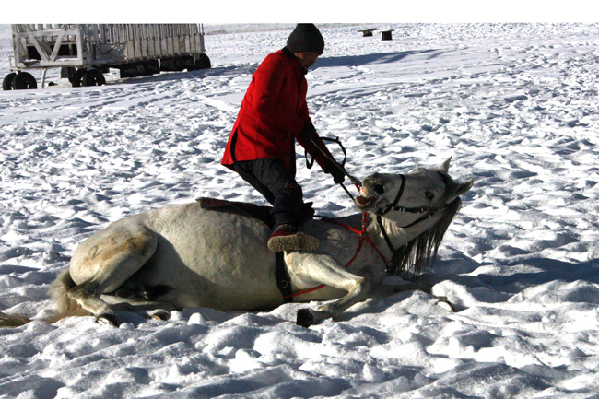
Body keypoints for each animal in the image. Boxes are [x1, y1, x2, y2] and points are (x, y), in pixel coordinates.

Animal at [2, 159, 474, 328]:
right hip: (134, 247)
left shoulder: (377, 277)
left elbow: (399, 285)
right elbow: (357, 286)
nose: (373, 184)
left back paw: (151, 309)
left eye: (430, 191)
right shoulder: (302, 261)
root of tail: (79, 253)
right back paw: (111, 313)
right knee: (87, 294)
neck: (368, 236)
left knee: (121, 297)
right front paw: (316, 312)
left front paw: (449, 303)